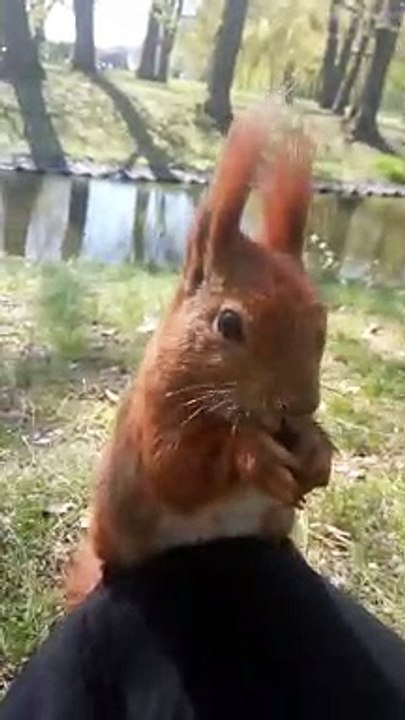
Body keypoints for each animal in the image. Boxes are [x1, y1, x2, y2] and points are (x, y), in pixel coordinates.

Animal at [66, 104, 334, 609]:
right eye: (227, 324)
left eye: (322, 320)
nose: (300, 406)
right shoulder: (155, 415)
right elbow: (177, 470)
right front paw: (253, 454)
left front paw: (317, 448)